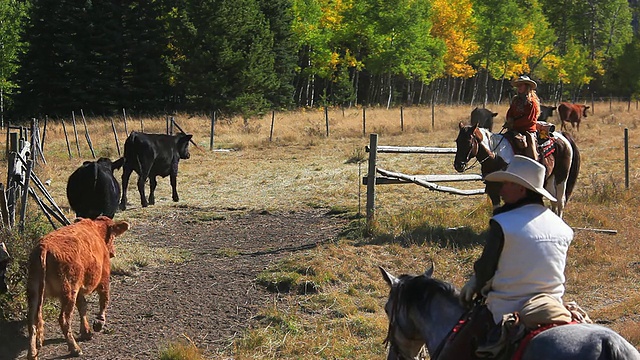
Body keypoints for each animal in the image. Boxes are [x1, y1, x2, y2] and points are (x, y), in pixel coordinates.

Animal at [26, 215, 129, 358]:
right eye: (113, 235)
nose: (113, 252)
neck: (97, 231)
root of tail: (43, 247)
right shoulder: (104, 278)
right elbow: (104, 299)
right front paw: (99, 322)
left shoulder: (79, 290)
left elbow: (82, 306)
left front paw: (86, 331)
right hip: (69, 292)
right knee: (64, 319)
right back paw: (75, 349)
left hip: (34, 293)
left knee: (32, 322)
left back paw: (32, 353)